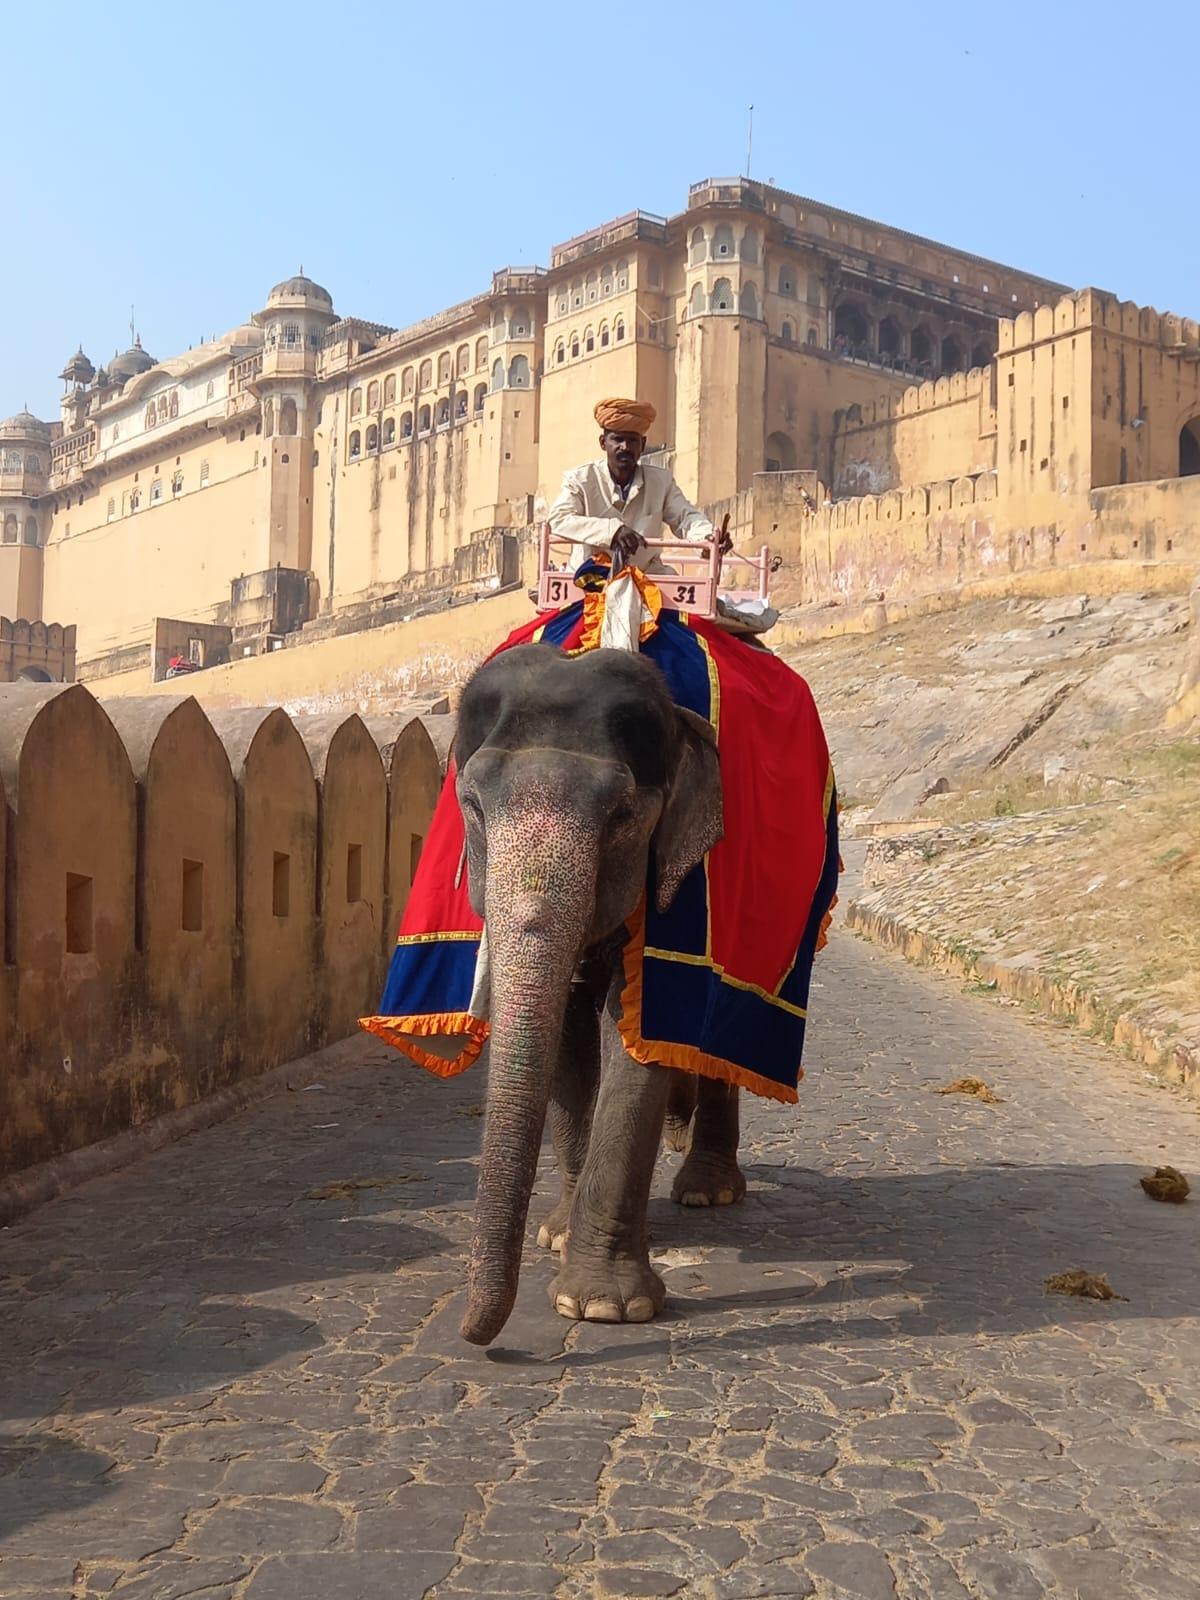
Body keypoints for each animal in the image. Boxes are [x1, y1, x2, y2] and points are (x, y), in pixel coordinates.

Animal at [454, 642, 748, 1346]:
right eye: (472, 803)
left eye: (621, 816)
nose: (473, 1336)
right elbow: (565, 1032)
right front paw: (556, 1237)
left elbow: (637, 1031)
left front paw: (601, 1307)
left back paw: (708, 1191)